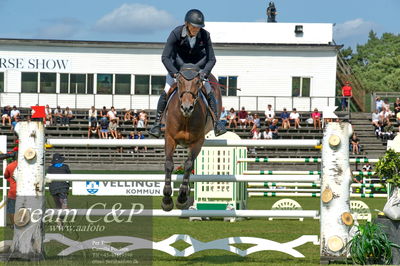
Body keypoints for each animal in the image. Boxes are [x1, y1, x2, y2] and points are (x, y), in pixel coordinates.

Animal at [160, 63, 222, 211]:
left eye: (198, 82)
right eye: (179, 81)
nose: (187, 107)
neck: (185, 118)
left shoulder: (197, 142)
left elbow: (188, 165)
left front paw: (182, 198)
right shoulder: (170, 138)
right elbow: (169, 164)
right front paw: (167, 199)